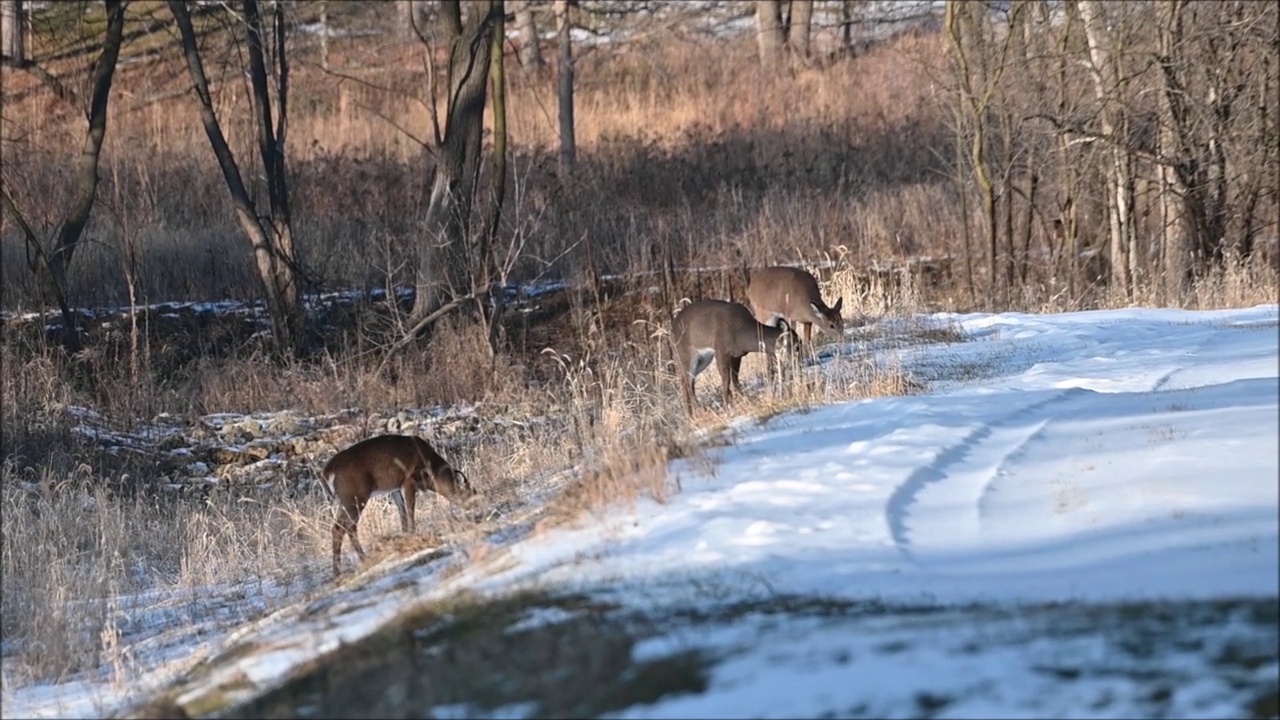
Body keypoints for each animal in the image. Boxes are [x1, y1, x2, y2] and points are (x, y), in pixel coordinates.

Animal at [320, 430, 476, 576]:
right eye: (470, 495)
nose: (476, 508)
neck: (433, 472)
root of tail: (327, 472)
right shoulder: (408, 480)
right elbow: (410, 509)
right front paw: (413, 534)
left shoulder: (394, 488)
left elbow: (402, 513)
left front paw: (405, 535)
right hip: (354, 496)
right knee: (341, 527)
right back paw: (343, 569)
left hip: (347, 499)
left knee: (347, 527)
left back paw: (355, 563)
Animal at [670, 298, 798, 415]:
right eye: (795, 342)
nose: (797, 355)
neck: (741, 331)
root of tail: (672, 330)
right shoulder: (720, 349)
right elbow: (726, 380)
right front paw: (729, 408)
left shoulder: (737, 355)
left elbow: (735, 379)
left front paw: (746, 400)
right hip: (685, 354)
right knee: (686, 382)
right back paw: (696, 411)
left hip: (703, 359)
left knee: (688, 381)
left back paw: (692, 414)